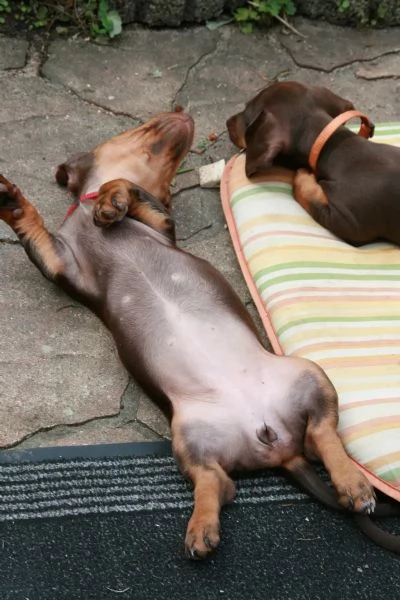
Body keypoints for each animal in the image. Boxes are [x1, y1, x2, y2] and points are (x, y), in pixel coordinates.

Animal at [0, 111, 376, 556]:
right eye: (136, 128)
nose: (180, 110)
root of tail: (277, 442)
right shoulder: (62, 264)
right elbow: (34, 226)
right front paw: (10, 201)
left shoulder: (160, 222)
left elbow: (130, 188)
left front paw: (112, 200)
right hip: (188, 437)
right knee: (220, 482)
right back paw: (202, 527)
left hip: (309, 372)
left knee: (322, 433)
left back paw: (352, 484)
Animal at [227, 81, 400, 246]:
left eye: (246, 111)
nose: (227, 122)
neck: (342, 150)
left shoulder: (348, 222)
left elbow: (308, 196)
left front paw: (304, 175)